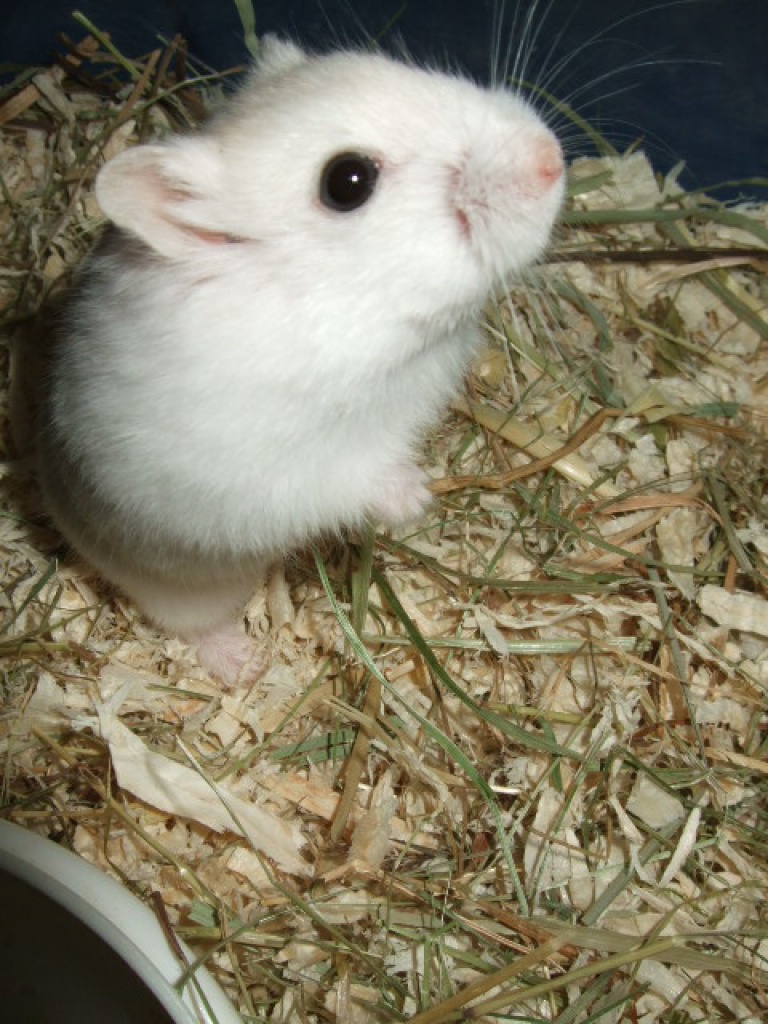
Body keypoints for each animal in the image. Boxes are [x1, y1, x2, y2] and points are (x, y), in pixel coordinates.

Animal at [29, 36, 564, 681]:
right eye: (346, 181)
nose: (552, 158)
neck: (369, 322)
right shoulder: (278, 472)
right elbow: (352, 477)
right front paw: (417, 500)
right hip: (177, 586)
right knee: (191, 623)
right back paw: (244, 666)